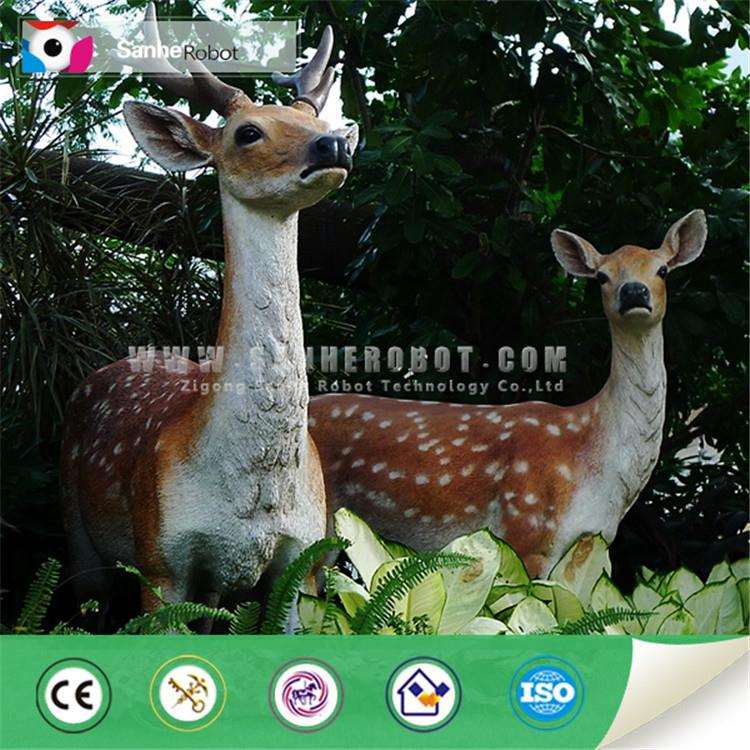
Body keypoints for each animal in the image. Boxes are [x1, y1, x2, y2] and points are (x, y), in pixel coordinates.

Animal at [60, 4, 358, 623]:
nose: (334, 146)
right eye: (247, 131)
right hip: (78, 535)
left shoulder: (301, 565)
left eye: (311, 116)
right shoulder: (161, 560)